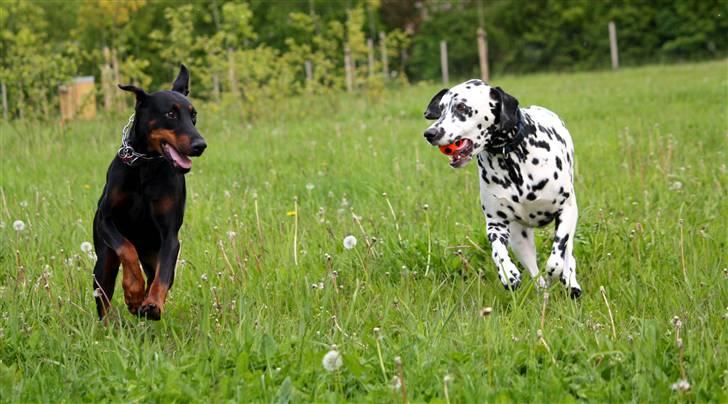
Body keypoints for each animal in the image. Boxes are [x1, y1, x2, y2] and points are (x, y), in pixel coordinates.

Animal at [91, 64, 205, 320]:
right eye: (170, 114)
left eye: (193, 116)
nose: (200, 145)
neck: (145, 166)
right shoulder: (105, 219)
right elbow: (126, 248)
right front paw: (133, 292)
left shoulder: (170, 236)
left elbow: (162, 276)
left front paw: (151, 303)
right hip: (104, 261)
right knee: (104, 296)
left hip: (152, 254)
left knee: (157, 274)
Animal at [424, 79, 584, 300]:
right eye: (440, 110)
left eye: (461, 107)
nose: (430, 133)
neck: (512, 160)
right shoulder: (496, 224)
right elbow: (498, 251)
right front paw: (509, 274)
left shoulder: (566, 209)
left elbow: (557, 258)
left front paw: (560, 273)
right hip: (520, 239)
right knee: (534, 272)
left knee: (567, 255)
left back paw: (570, 282)